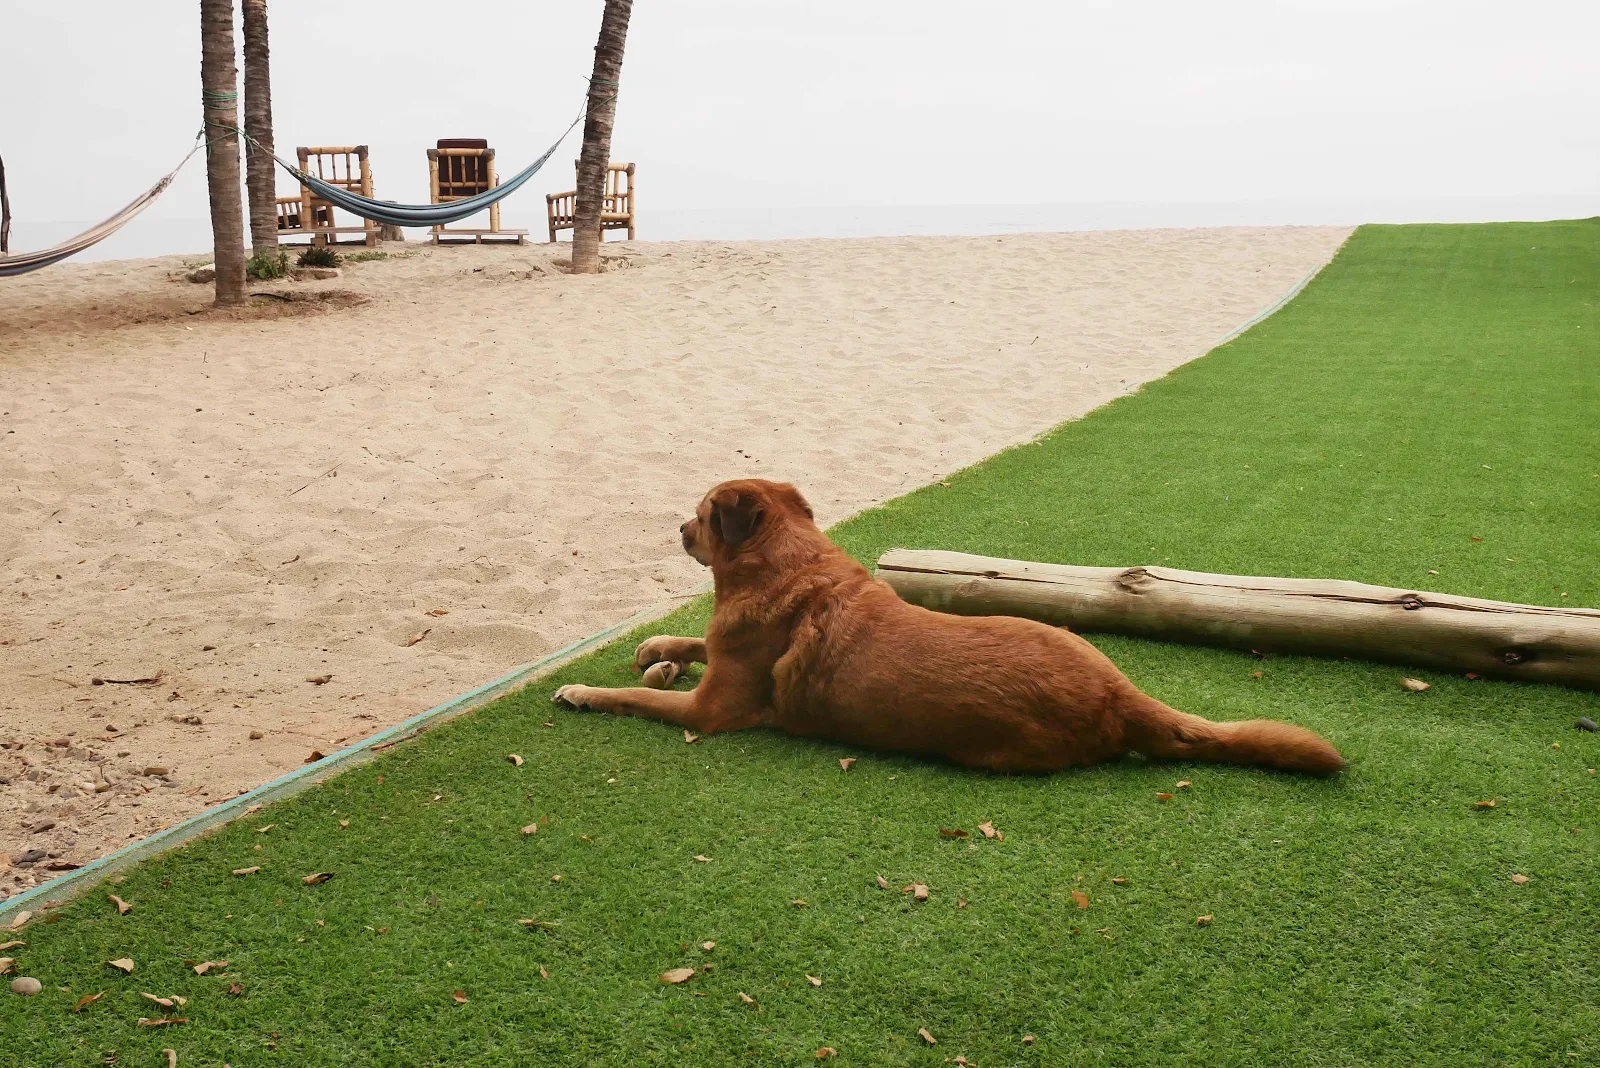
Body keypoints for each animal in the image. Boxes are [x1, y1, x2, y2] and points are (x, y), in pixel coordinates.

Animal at [554, 479, 1344, 776]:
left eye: (699, 513)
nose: (678, 528)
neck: (789, 568)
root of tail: (1120, 696)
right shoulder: (721, 655)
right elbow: (690, 643)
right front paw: (658, 648)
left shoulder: (708, 711)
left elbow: (637, 698)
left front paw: (583, 692)